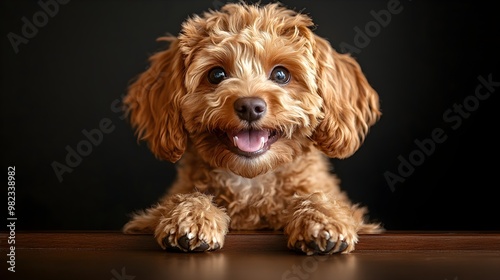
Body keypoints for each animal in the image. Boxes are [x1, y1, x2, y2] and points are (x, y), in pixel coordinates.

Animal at [123, 2, 380, 255]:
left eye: (281, 74)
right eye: (216, 74)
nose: (249, 106)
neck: (251, 183)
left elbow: (317, 197)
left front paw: (322, 219)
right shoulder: (145, 221)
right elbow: (182, 200)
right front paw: (191, 215)